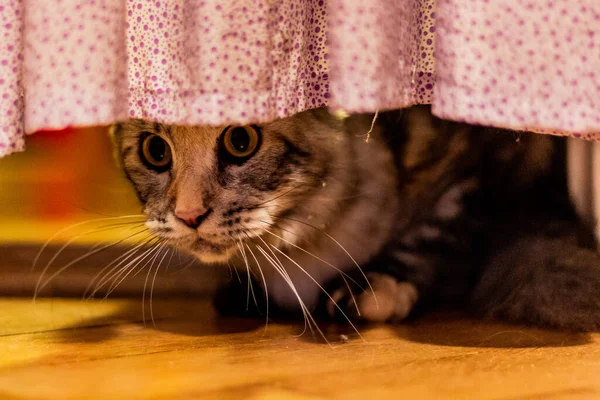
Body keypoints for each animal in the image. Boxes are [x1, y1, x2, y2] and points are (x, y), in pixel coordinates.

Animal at [110, 105, 600, 332]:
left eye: (241, 141)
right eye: (156, 151)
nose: (189, 214)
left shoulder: (478, 159)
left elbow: (432, 234)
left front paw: (371, 288)